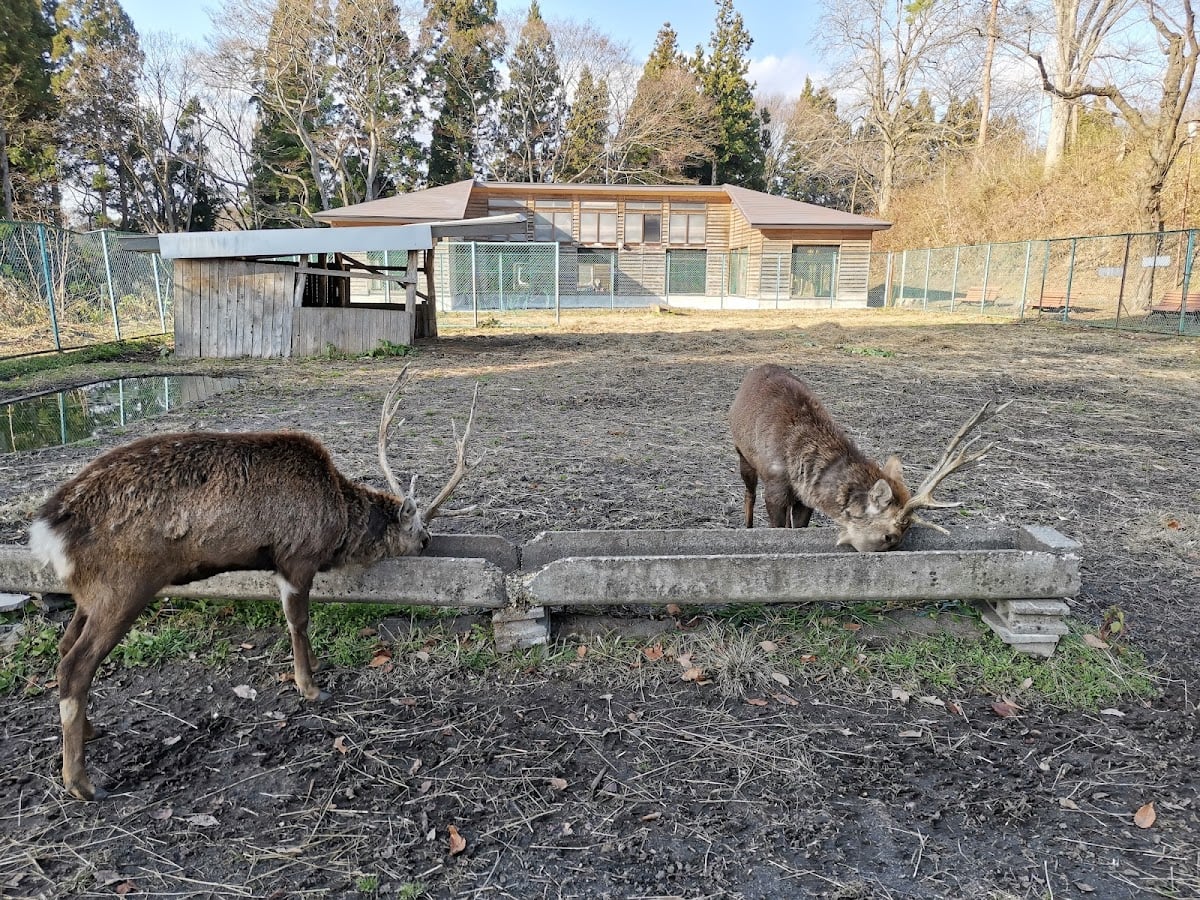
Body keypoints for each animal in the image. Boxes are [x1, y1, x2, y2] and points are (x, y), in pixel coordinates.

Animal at [29, 366, 478, 802]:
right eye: (421, 532)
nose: (428, 542)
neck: (337, 525)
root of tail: (46, 529)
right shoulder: (296, 556)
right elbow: (298, 621)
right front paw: (311, 687)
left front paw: (314, 667)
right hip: (123, 586)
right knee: (74, 665)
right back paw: (82, 783)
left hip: (88, 593)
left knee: (63, 646)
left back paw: (90, 731)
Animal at [729, 364, 1010, 552]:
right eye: (889, 537)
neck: (798, 464)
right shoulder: (775, 483)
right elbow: (778, 527)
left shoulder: (804, 497)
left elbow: (798, 527)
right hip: (742, 453)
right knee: (749, 493)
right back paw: (747, 527)